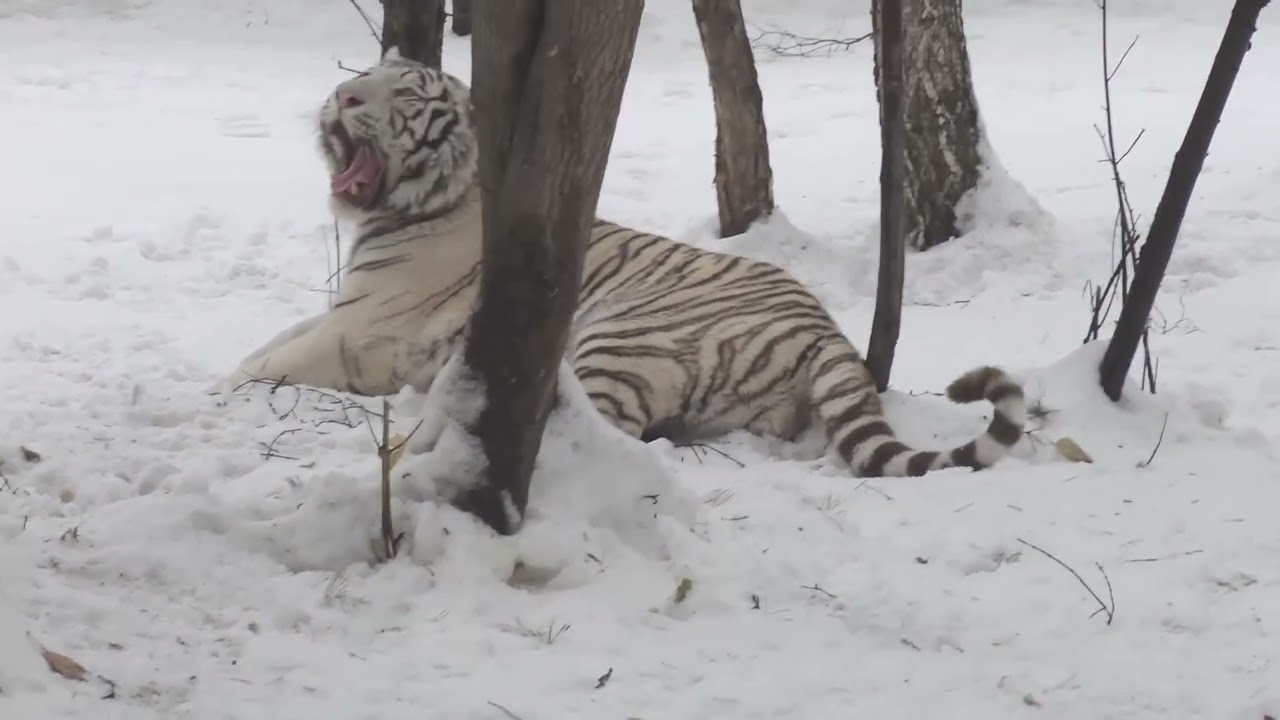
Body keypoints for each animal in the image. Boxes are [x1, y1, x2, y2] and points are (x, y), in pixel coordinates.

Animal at [219, 49, 1026, 486]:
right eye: (365, 74)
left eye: (406, 93)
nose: (342, 95)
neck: (421, 202)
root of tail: (825, 327)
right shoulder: (341, 312)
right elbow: (265, 347)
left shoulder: (360, 330)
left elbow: (261, 365)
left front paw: (216, 392)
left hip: (615, 339)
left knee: (597, 431)